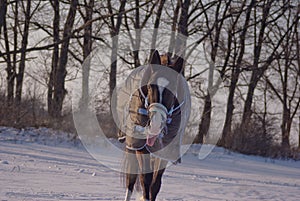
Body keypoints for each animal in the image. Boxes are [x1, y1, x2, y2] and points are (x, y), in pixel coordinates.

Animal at [119, 49, 188, 200]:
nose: (155, 125)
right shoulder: (142, 148)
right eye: (150, 86)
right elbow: (145, 180)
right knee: (130, 181)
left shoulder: (164, 151)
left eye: (172, 90)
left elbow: (155, 185)